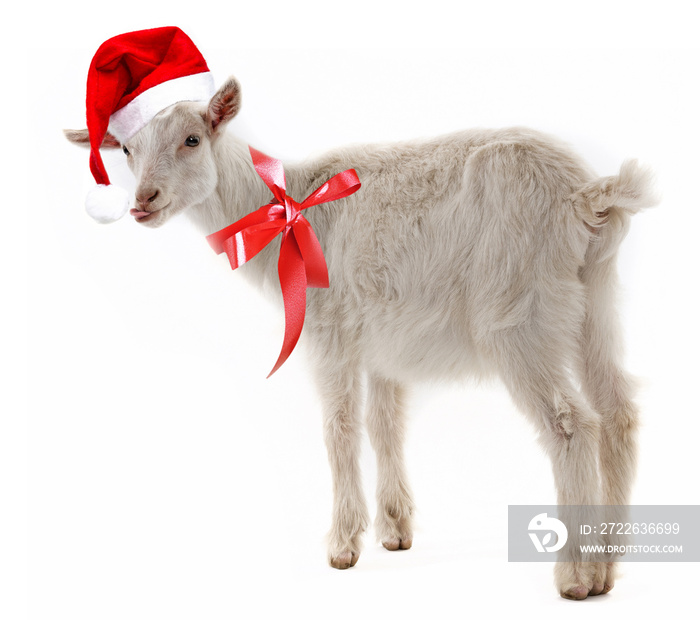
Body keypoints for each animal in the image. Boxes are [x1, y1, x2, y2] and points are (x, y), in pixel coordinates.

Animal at [64, 75, 656, 600]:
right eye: (126, 150)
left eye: (192, 139)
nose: (144, 200)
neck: (290, 205)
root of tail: (586, 195)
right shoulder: (382, 343)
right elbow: (385, 424)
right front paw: (395, 531)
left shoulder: (330, 328)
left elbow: (339, 428)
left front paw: (342, 546)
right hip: (596, 298)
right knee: (618, 411)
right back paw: (609, 567)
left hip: (519, 312)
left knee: (572, 424)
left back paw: (575, 577)